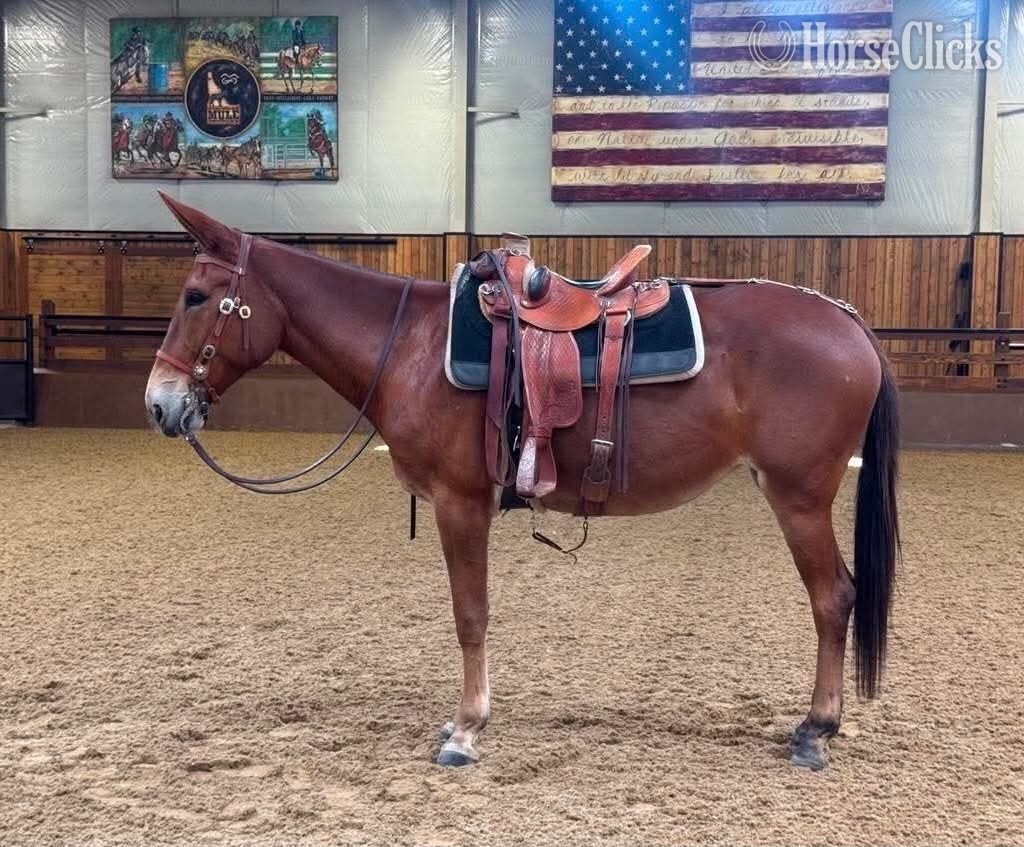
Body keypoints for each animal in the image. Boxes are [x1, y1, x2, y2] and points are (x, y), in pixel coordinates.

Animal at [145, 195, 900, 773]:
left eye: (195, 296)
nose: (159, 404)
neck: (411, 346)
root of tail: (846, 320)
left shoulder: (460, 503)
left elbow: (470, 615)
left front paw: (465, 728)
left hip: (799, 497)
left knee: (833, 598)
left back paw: (815, 730)